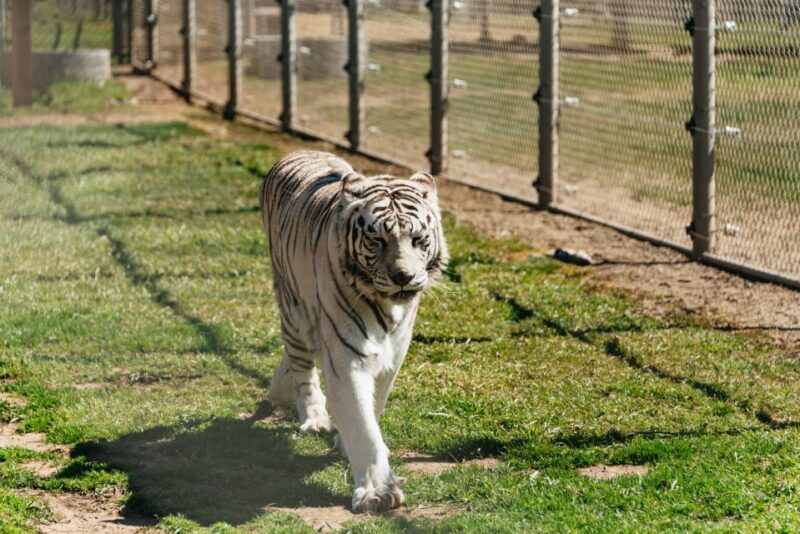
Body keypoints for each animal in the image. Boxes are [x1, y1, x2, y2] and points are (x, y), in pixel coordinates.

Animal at [259, 150, 448, 513]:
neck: (389, 307)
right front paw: (377, 492)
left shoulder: (395, 352)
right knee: (302, 364)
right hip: (293, 308)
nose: (403, 276)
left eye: (417, 239)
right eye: (377, 240)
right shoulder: (347, 353)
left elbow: (374, 405)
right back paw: (314, 416)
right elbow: (362, 424)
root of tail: (299, 152)